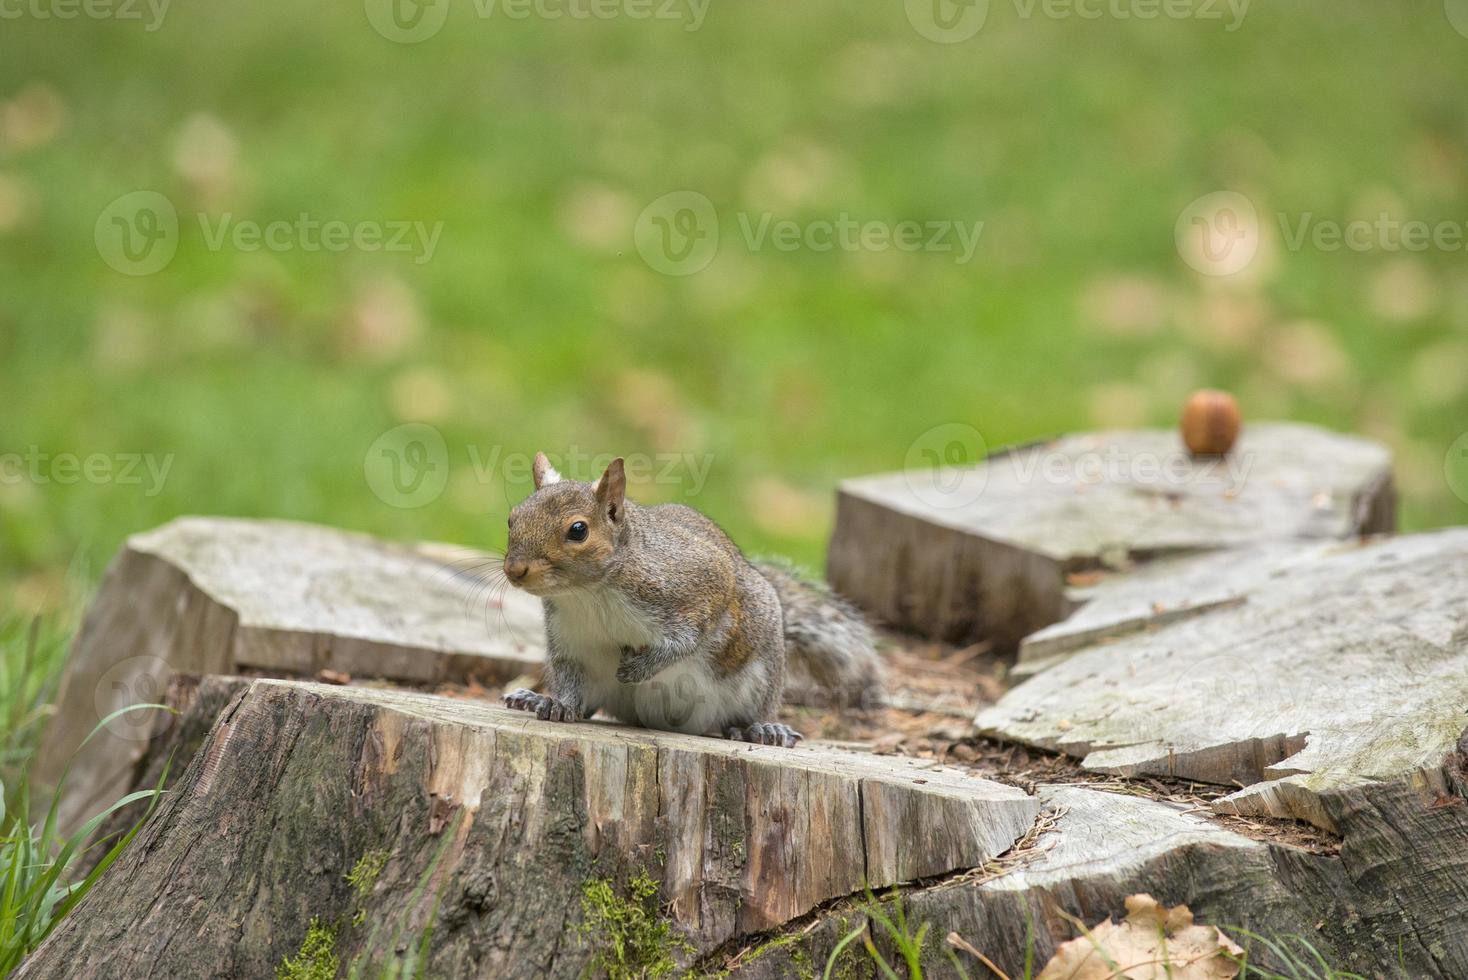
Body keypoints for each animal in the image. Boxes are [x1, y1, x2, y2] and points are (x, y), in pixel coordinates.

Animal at [499, 454, 880, 745]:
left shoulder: (700, 587)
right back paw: (531, 697)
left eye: (578, 530)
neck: (588, 594)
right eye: (512, 519)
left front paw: (640, 669)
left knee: (750, 711)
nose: (515, 569)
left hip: (762, 671)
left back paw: (763, 728)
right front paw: (559, 705)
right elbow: (569, 679)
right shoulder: (570, 642)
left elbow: (686, 640)